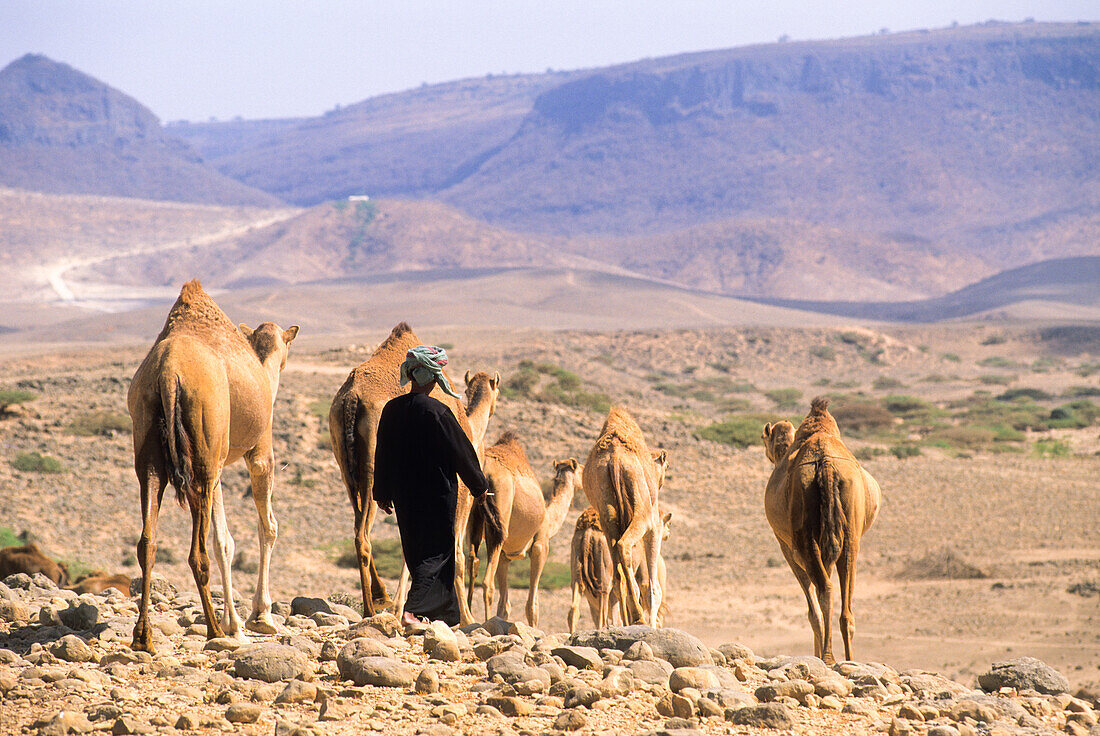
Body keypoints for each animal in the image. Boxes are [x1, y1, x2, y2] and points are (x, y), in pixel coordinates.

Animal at [127, 278, 297, 651]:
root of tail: (168, 374)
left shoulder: (217, 464)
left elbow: (225, 540)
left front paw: (238, 621)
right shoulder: (259, 452)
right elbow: (266, 527)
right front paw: (258, 618)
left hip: (152, 450)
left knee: (147, 542)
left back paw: (143, 637)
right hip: (203, 455)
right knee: (198, 553)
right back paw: (215, 630)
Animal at [325, 323, 499, 620]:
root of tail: (352, 398)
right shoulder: (461, 489)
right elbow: (456, 552)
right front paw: (465, 617)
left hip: (346, 465)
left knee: (358, 525)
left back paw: (379, 598)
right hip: (373, 468)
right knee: (363, 535)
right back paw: (371, 608)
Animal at [468, 442, 580, 624]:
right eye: (581, 469)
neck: (549, 518)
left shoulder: (505, 556)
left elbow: (504, 606)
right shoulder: (540, 545)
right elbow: (532, 606)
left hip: (472, 517)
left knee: (470, 562)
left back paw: (467, 618)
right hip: (498, 521)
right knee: (487, 583)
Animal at [580, 407, 664, 624]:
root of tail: (615, 459)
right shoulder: (654, 523)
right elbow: (653, 587)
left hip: (606, 511)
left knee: (618, 574)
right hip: (642, 512)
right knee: (624, 545)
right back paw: (638, 617)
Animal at [761, 398, 880, 664]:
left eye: (765, 439)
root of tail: (825, 463)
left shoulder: (786, 547)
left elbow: (811, 611)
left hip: (804, 537)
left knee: (824, 589)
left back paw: (827, 656)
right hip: (850, 533)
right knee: (845, 604)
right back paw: (847, 658)